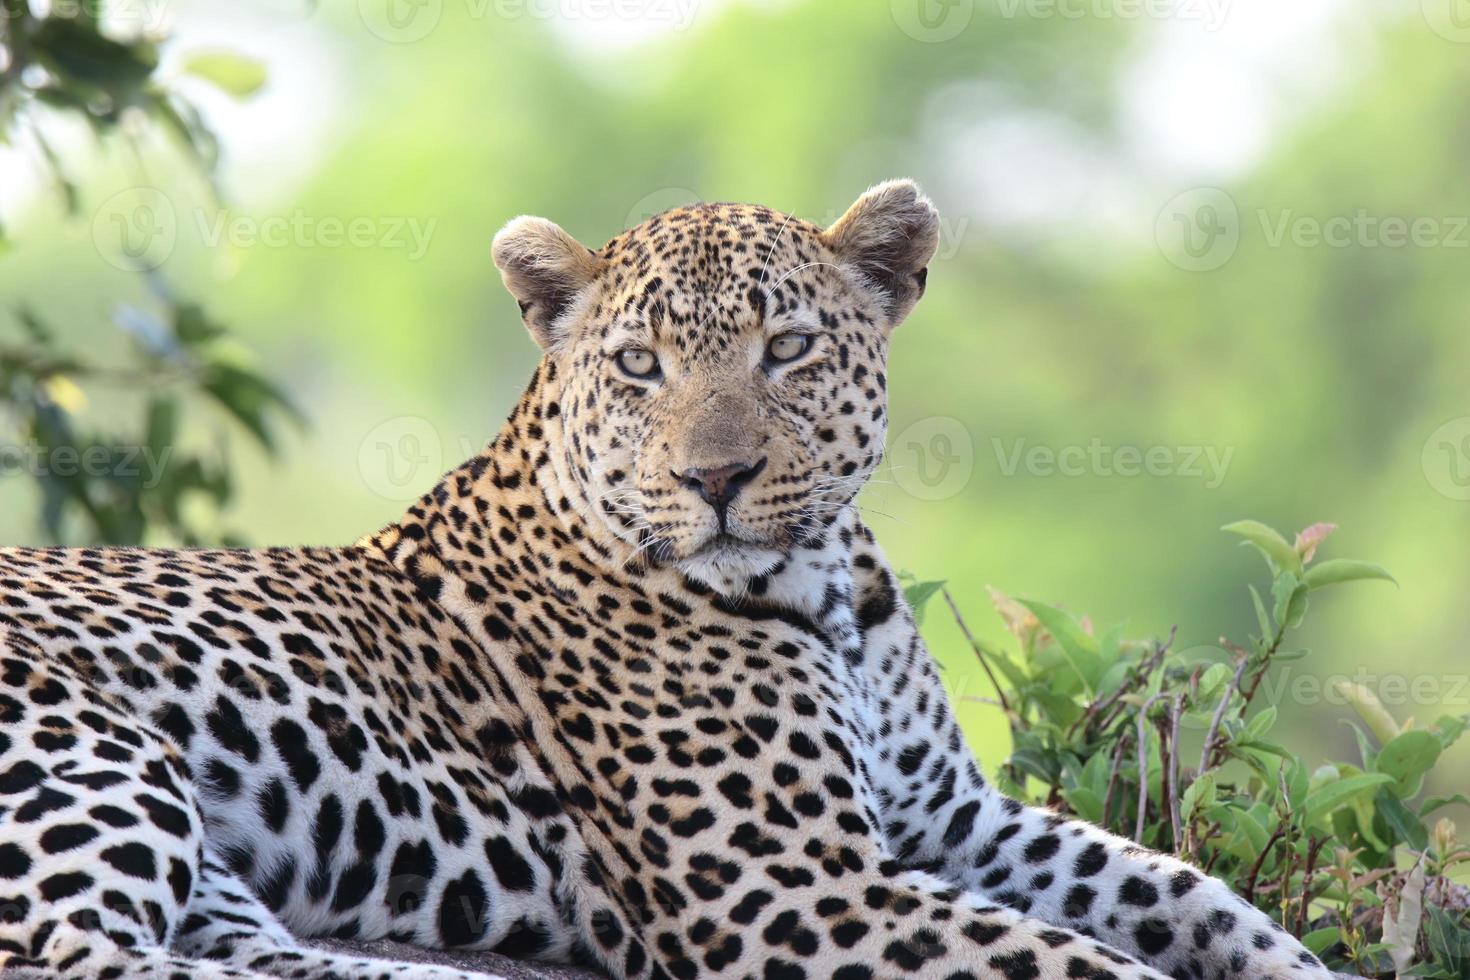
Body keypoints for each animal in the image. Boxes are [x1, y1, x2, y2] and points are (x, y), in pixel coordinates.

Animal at [0, 183, 1334, 980]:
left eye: (787, 349)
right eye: (641, 365)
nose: (717, 476)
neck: (827, 586)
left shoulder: (948, 815)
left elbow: (1188, 890)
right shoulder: (792, 883)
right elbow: (1076, 957)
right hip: (91, 754)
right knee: (84, 955)